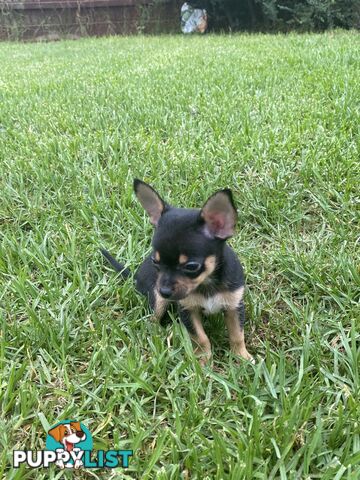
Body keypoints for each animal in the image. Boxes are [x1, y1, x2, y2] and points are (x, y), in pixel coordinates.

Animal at [101, 179, 253, 364]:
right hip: (158, 301)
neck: (206, 283)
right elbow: (200, 338)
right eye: (155, 261)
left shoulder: (234, 307)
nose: (164, 291)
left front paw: (242, 357)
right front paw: (202, 361)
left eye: (191, 266)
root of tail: (136, 276)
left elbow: (237, 335)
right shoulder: (187, 310)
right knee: (152, 319)